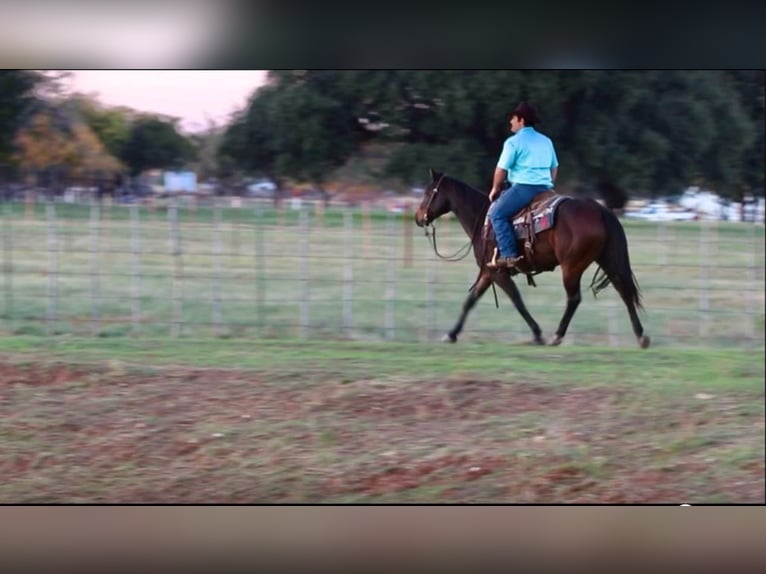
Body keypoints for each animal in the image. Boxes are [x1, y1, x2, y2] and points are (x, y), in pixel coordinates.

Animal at [416, 169, 652, 348]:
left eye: (428, 192)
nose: (419, 218)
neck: (483, 219)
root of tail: (601, 210)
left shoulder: (498, 272)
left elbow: (517, 300)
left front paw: (537, 334)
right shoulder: (488, 272)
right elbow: (470, 301)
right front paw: (451, 334)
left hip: (572, 266)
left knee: (574, 299)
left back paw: (556, 336)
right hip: (608, 260)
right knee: (625, 292)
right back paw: (641, 336)